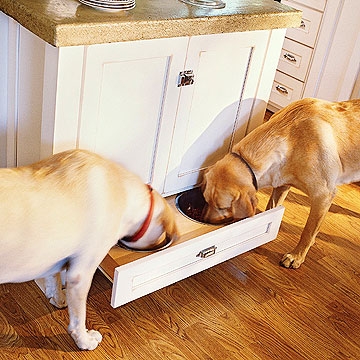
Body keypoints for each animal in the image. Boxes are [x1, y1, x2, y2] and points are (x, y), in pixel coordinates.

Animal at [0, 150, 177, 350]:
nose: (163, 243)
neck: (122, 189)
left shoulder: (55, 256)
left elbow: (54, 277)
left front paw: (58, 298)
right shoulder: (80, 274)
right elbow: (79, 317)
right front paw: (84, 340)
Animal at [202, 97, 360, 268]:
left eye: (222, 207)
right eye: (206, 201)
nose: (205, 221)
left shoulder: (323, 196)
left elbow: (308, 231)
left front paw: (297, 256)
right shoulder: (282, 184)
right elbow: (271, 209)